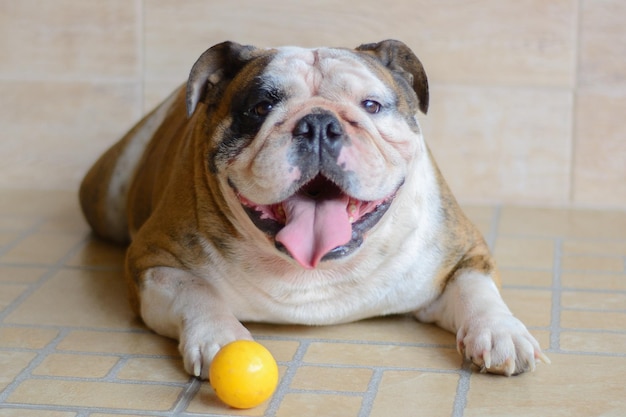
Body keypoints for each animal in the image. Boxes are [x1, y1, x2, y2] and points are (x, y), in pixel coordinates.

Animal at [78, 39, 544, 376]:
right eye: (261, 107)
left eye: (371, 106)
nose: (318, 122)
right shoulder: (151, 262)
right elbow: (197, 291)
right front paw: (222, 339)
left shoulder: (463, 253)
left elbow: (475, 287)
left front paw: (499, 332)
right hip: (109, 198)